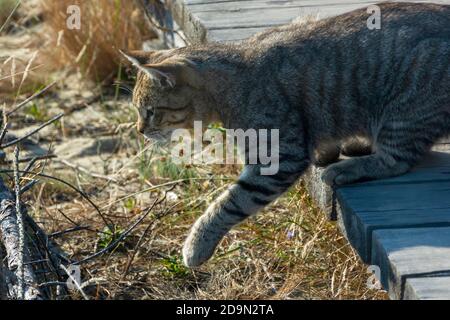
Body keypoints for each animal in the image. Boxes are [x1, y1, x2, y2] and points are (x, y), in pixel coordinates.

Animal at [122, 2, 450, 268]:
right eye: (138, 111)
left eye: (149, 111)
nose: (139, 130)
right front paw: (327, 150)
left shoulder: (278, 158)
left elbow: (228, 203)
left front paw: (196, 244)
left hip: (404, 108)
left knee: (396, 160)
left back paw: (346, 168)